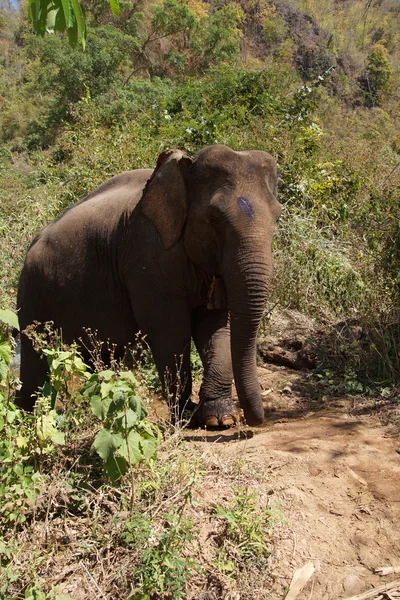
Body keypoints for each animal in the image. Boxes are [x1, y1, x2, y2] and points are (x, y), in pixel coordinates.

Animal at [15, 144, 282, 426]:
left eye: (278, 216)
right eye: (214, 218)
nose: (254, 420)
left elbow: (215, 325)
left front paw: (219, 418)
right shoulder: (147, 254)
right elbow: (169, 328)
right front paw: (186, 416)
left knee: (97, 356)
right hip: (32, 293)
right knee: (36, 357)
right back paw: (27, 418)